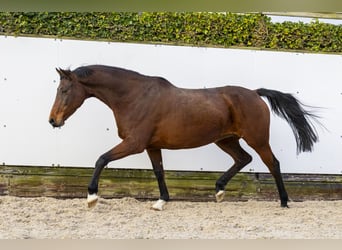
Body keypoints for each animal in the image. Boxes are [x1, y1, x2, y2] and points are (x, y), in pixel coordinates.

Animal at [48, 65, 318, 211]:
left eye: (64, 90)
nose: (53, 120)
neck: (134, 97)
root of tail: (254, 93)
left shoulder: (134, 144)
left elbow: (101, 159)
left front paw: (91, 197)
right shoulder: (151, 146)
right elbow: (159, 171)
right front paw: (161, 202)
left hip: (257, 139)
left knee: (272, 163)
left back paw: (284, 201)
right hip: (226, 139)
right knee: (244, 159)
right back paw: (219, 191)